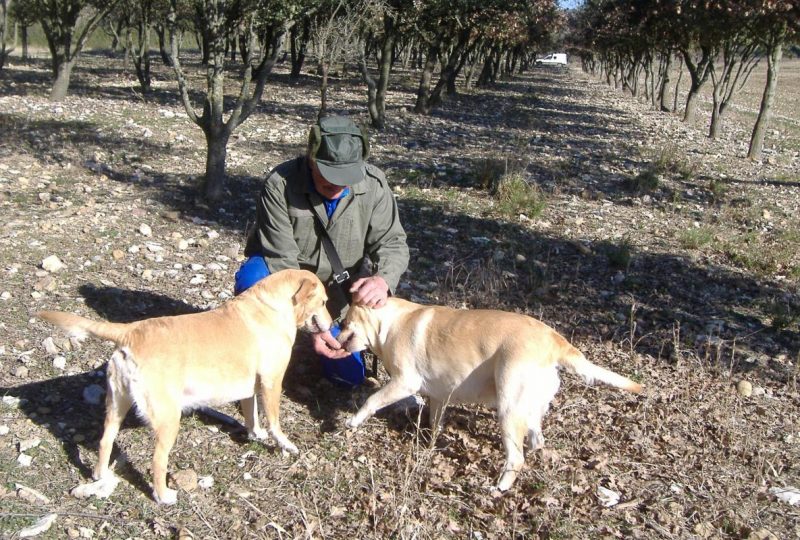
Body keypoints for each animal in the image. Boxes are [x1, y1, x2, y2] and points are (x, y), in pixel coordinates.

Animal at [36, 270, 332, 506]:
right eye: (324, 302)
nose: (333, 325)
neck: (272, 306)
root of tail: (130, 332)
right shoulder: (272, 381)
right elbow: (274, 422)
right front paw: (285, 445)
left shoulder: (251, 387)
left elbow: (252, 414)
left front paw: (255, 433)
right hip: (168, 420)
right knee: (157, 460)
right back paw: (163, 496)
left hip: (116, 406)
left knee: (105, 440)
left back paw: (100, 474)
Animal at [338, 298, 644, 492]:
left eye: (346, 322)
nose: (335, 333)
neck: (390, 322)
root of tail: (555, 341)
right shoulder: (439, 397)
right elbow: (435, 423)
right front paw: (430, 444)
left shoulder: (404, 382)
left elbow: (371, 401)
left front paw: (353, 421)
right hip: (529, 409)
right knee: (536, 440)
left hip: (508, 408)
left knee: (516, 458)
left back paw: (499, 487)